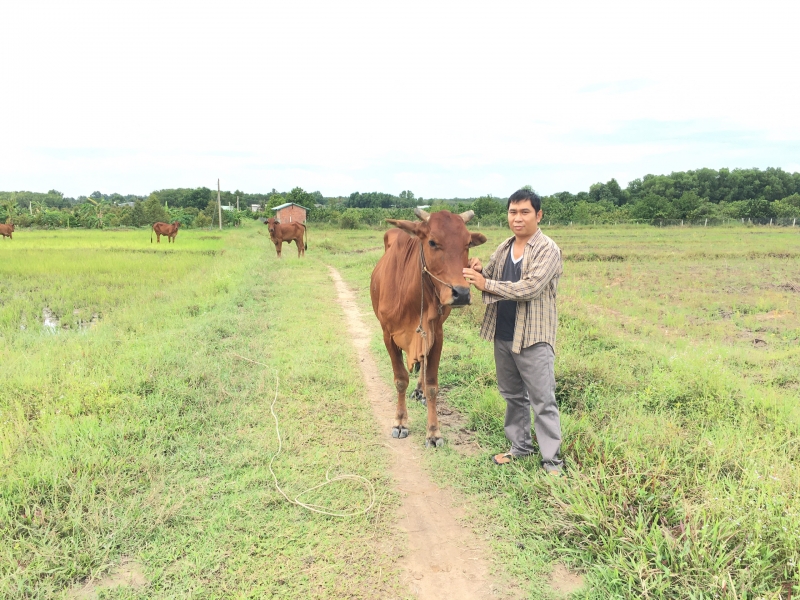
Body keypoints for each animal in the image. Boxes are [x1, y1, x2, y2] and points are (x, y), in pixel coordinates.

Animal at [370, 209, 488, 448]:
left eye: (468, 243)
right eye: (432, 242)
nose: (462, 293)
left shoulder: (437, 334)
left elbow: (433, 384)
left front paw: (433, 432)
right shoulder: (388, 335)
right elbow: (400, 380)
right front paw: (400, 422)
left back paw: (420, 391)